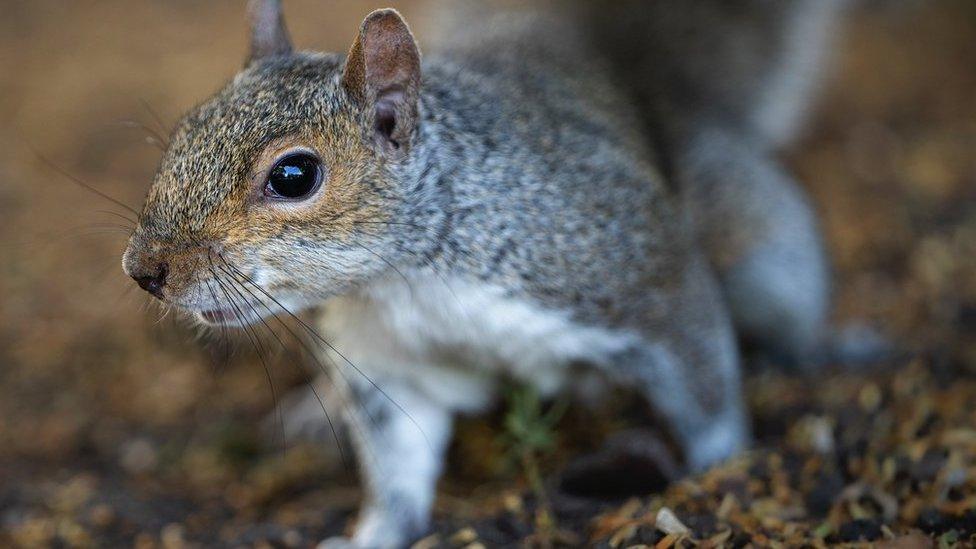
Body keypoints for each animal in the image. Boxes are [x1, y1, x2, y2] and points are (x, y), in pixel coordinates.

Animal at [122, 2, 852, 544]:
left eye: (295, 175)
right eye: (185, 129)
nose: (143, 269)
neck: (404, 279)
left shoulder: (636, 272)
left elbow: (700, 373)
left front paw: (716, 468)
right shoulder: (387, 364)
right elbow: (397, 467)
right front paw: (374, 533)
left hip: (758, 245)